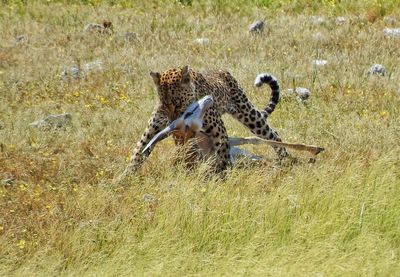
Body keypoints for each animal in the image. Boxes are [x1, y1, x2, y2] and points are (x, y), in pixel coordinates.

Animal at [125, 66, 288, 174]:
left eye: (177, 103)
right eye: (164, 104)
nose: (172, 123)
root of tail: (223, 71)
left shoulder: (217, 128)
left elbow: (222, 152)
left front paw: (222, 174)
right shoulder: (153, 129)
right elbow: (139, 149)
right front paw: (126, 177)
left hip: (248, 113)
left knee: (272, 134)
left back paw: (286, 160)